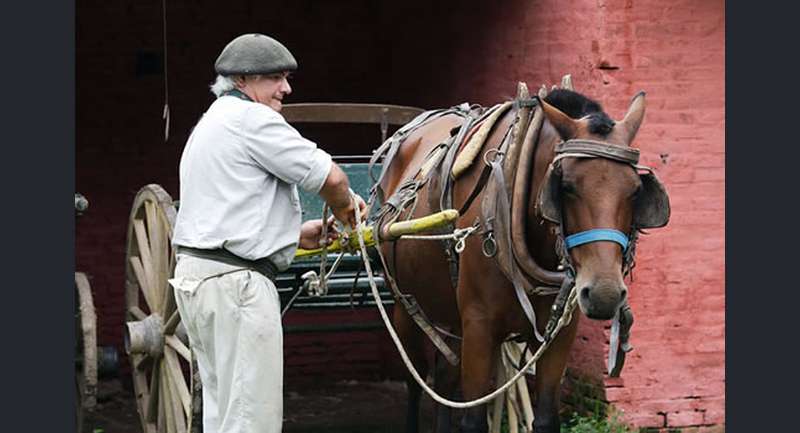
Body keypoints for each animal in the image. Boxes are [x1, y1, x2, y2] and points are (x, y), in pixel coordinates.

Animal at [376, 87, 668, 432]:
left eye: (636, 191)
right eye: (565, 186)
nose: (604, 294)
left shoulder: (560, 334)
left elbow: (545, 418)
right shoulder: (479, 326)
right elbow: (473, 420)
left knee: (445, 380)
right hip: (404, 304)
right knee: (416, 379)